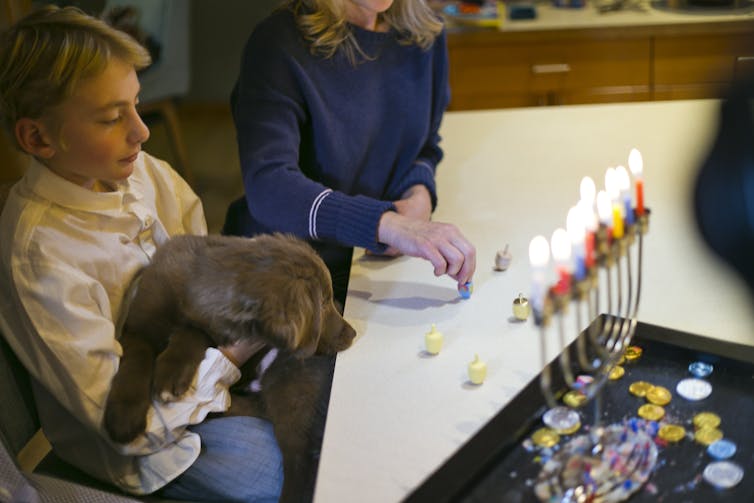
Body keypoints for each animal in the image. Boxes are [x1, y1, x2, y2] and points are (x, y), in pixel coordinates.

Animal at [102, 233, 356, 500]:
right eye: (323, 303)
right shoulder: (137, 324)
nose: (353, 333)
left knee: (299, 460)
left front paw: (170, 373)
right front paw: (124, 416)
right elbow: (138, 356)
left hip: (290, 393)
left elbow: (193, 332)